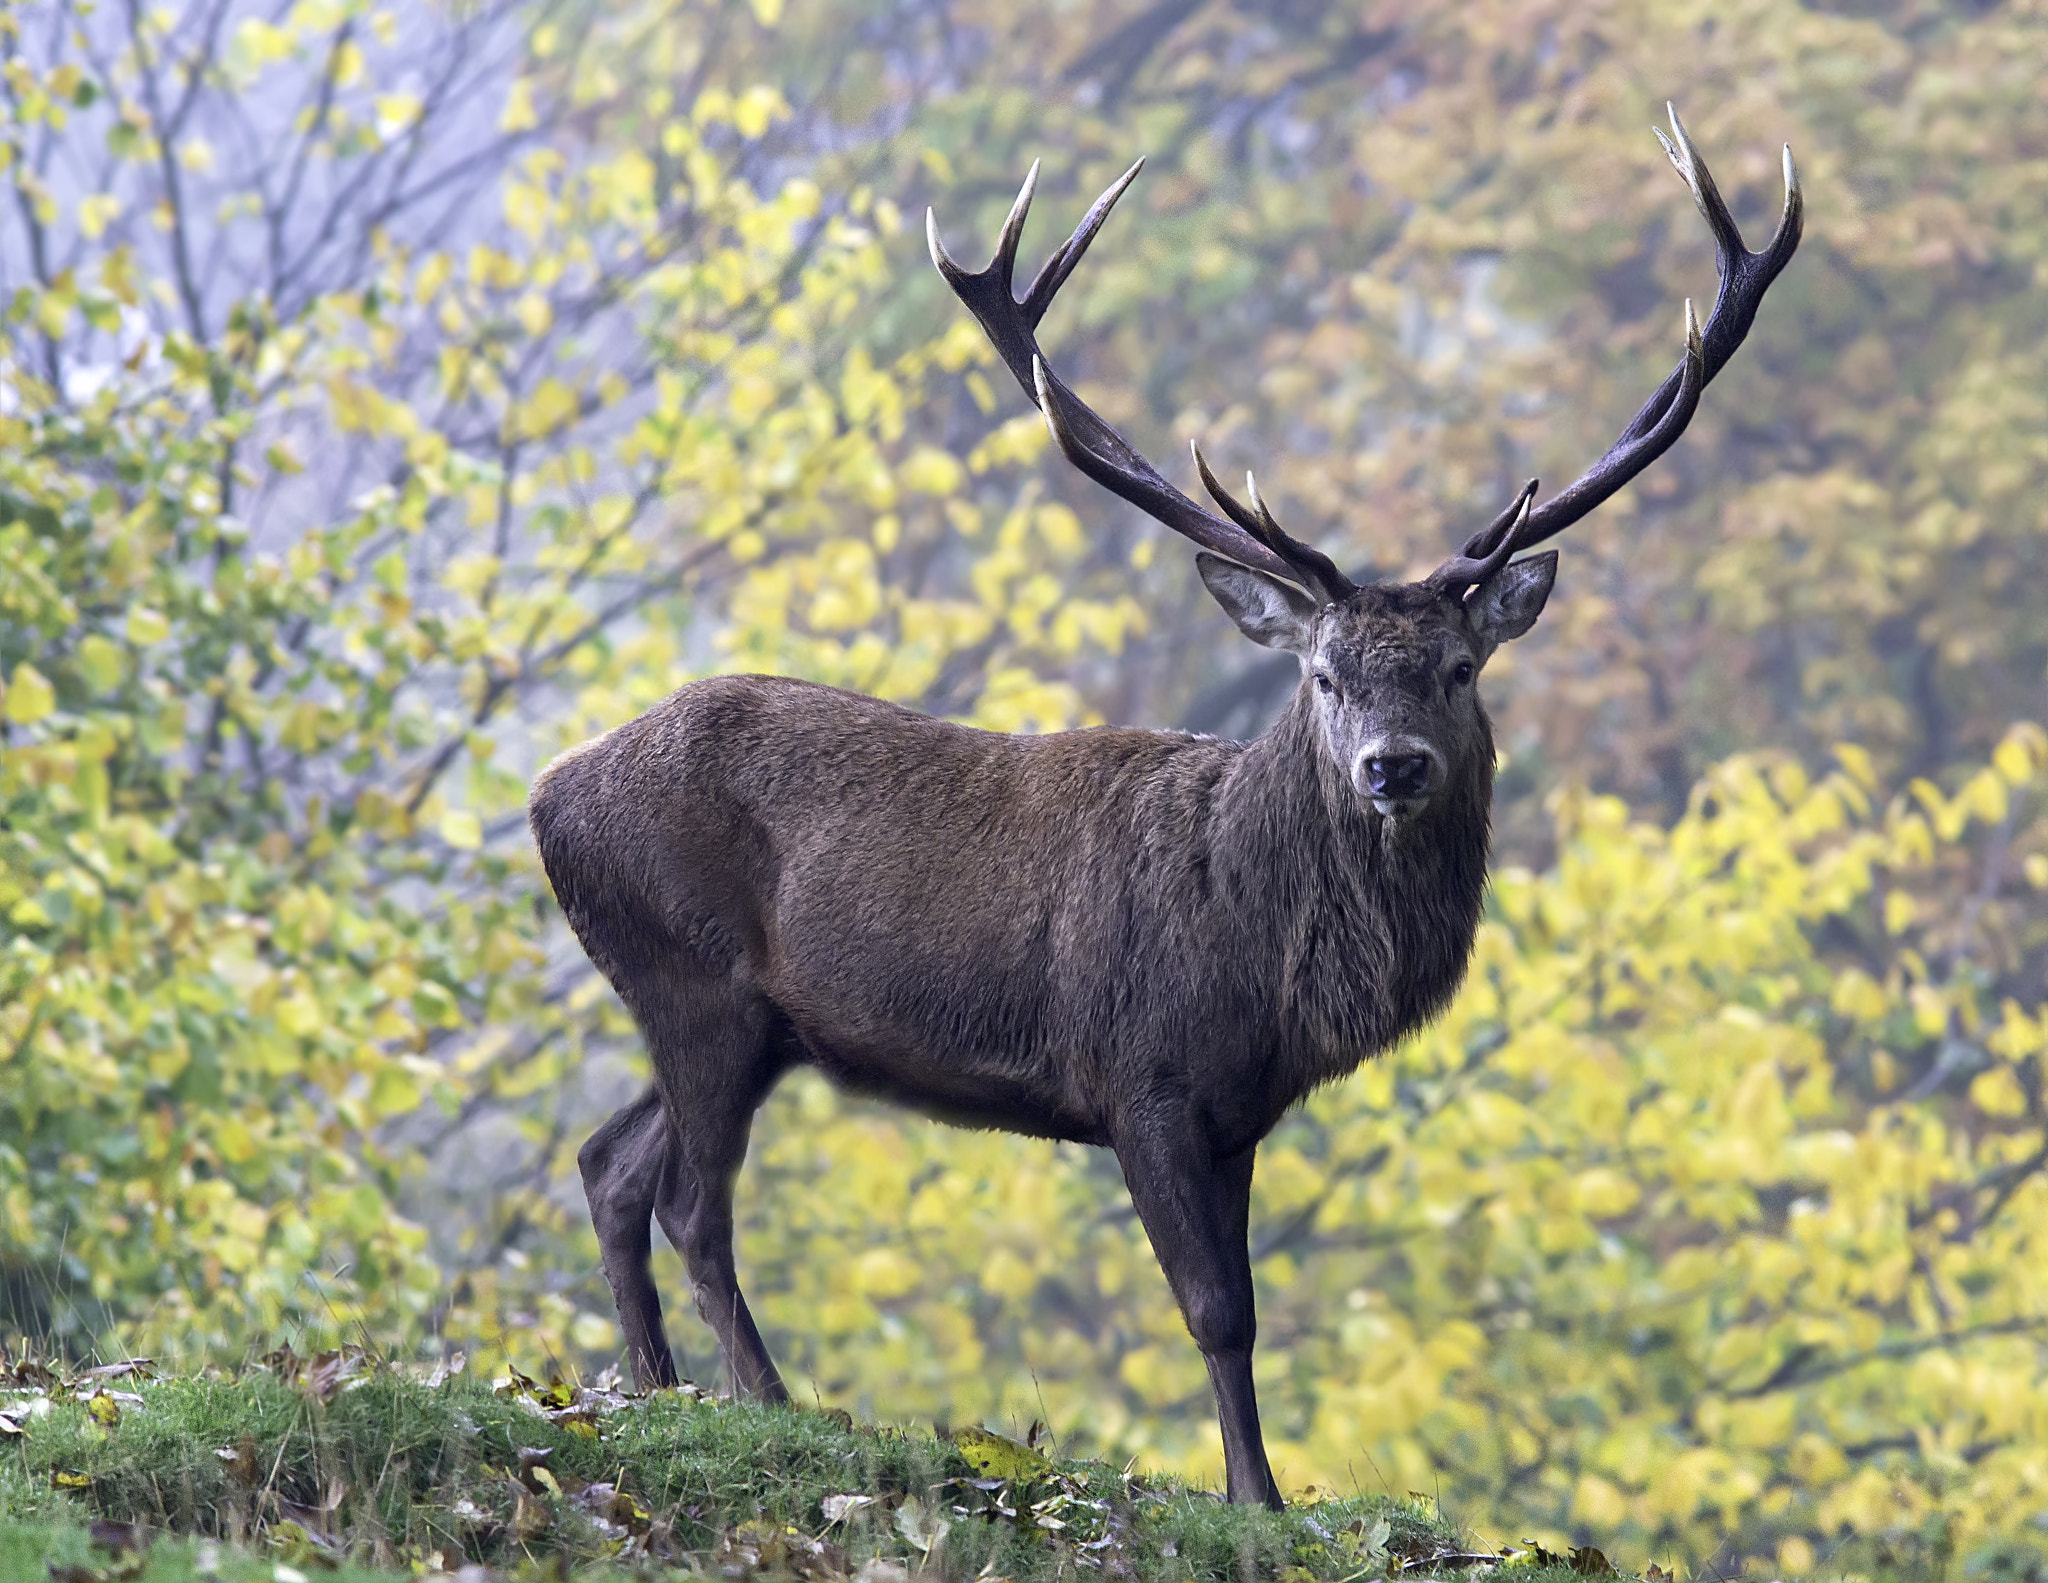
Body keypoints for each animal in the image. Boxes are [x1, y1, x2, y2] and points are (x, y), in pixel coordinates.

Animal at [531, 107, 1801, 1508]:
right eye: (1322, 674)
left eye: (1459, 668)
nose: (1391, 767)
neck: (1260, 964)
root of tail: (545, 791)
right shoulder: (1138, 1074)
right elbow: (1212, 1308)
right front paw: (1257, 1499)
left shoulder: (1239, 1111)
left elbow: (1245, 1301)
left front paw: (1266, 1489)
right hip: (693, 977)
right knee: (691, 1203)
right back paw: (767, 1399)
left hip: (739, 1018)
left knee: (609, 1163)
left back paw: (655, 1388)